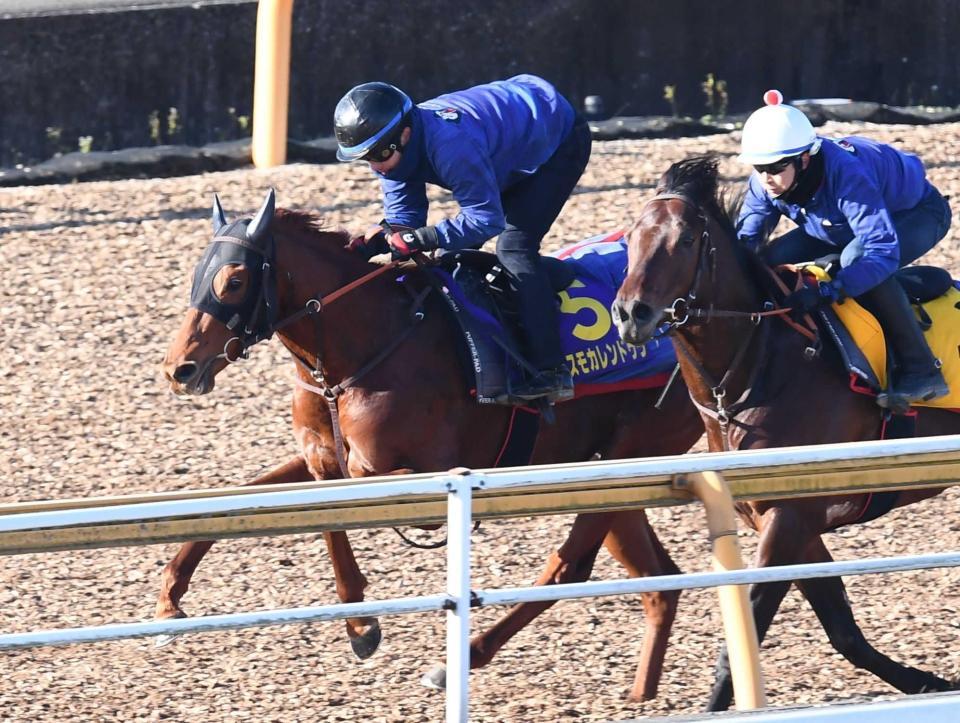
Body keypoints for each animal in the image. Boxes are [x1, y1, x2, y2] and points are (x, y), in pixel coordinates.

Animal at [159, 191, 704, 700]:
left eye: (234, 281)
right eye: (196, 274)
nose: (178, 368)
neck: (363, 351)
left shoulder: (413, 478)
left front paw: (363, 625)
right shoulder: (323, 456)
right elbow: (253, 500)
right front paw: (171, 594)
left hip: (637, 447)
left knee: (572, 565)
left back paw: (464, 657)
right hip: (612, 466)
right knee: (658, 580)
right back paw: (641, 689)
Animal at [612, 156, 956, 708]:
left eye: (685, 239)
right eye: (630, 238)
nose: (630, 314)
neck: (759, 367)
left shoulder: (792, 516)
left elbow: (745, 631)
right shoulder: (789, 516)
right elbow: (842, 628)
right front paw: (928, 681)